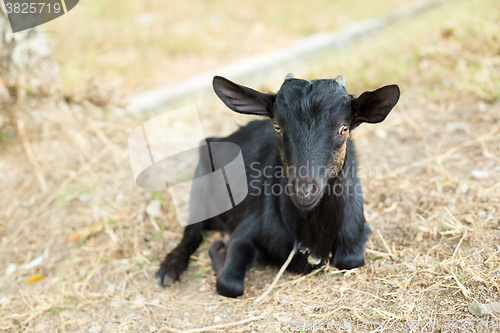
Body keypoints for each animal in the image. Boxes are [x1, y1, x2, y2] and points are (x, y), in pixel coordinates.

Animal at [156, 74, 398, 296]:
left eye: (343, 129)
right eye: (277, 126)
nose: (303, 190)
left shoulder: (357, 232)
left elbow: (351, 260)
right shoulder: (248, 228)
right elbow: (229, 284)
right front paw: (217, 249)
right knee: (192, 229)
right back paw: (168, 269)